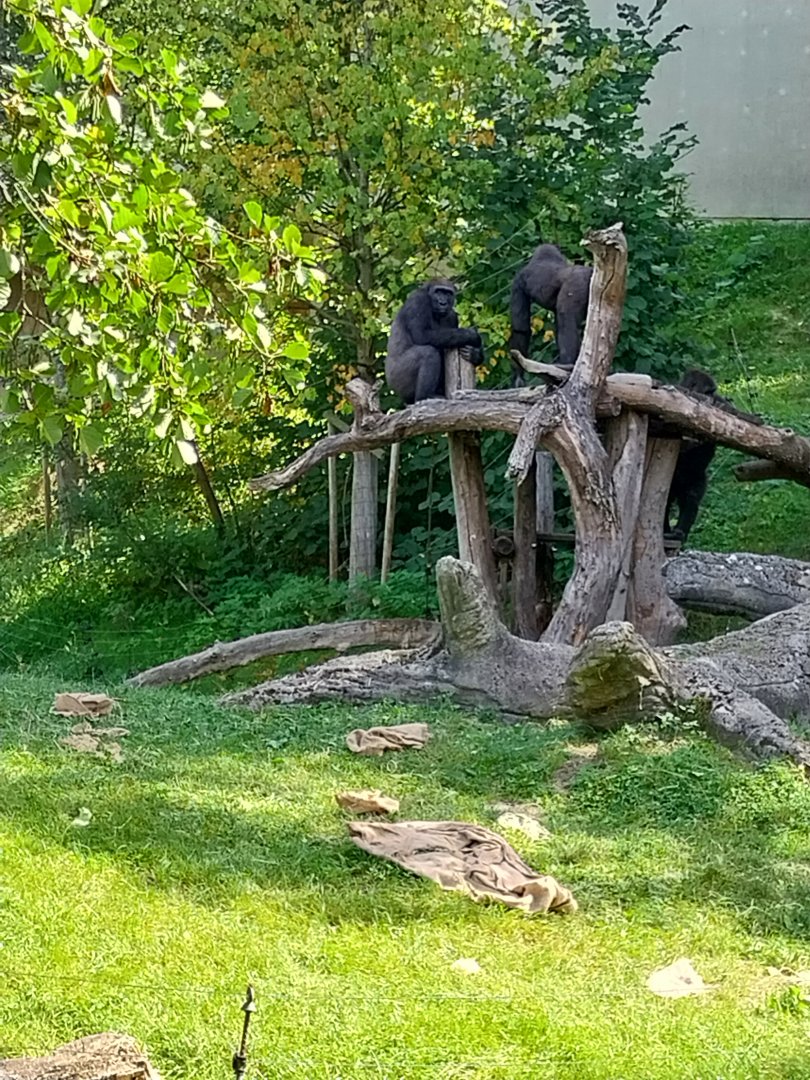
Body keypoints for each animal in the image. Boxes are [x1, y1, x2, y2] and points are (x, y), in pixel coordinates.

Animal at [508, 244, 592, 386]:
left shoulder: (518, 282)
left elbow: (521, 329)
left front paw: (519, 374)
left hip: (578, 284)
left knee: (566, 320)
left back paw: (567, 365)